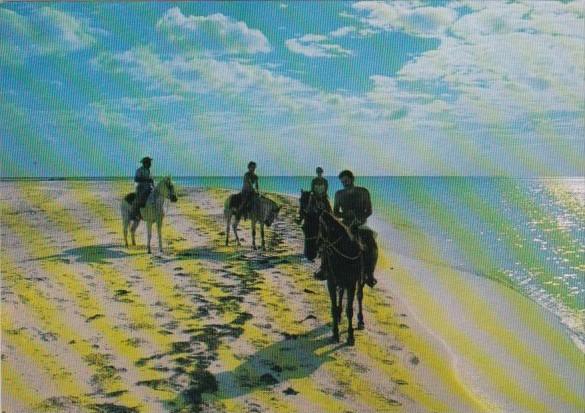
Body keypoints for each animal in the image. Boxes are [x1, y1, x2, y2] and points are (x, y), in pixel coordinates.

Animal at [318, 209, 362, 344]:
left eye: (320, 227)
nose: (319, 246)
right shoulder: (331, 283)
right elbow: (333, 307)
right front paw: (335, 333)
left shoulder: (351, 284)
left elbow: (350, 310)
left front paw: (350, 336)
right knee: (341, 293)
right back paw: (338, 316)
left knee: (360, 296)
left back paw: (361, 321)